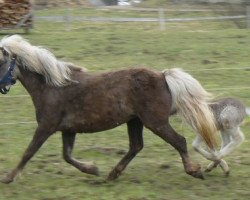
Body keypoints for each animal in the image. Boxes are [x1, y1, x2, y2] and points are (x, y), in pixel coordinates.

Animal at [0, 34, 218, 183]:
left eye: (0, 61)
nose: (2, 88)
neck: (52, 86)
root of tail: (162, 76)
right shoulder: (68, 130)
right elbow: (67, 156)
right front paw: (93, 169)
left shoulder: (46, 127)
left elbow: (29, 152)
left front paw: (9, 178)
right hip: (135, 121)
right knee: (136, 146)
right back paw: (112, 174)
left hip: (155, 122)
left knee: (179, 141)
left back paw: (194, 171)